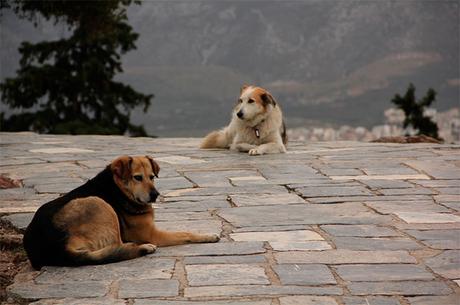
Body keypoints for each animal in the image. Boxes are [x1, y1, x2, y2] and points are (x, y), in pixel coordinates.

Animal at [23, 154, 221, 268]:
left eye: (152, 177)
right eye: (137, 178)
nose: (155, 195)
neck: (119, 189)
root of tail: (57, 245)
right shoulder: (152, 234)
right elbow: (186, 233)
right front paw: (208, 236)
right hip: (99, 204)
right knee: (118, 246)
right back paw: (143, 248)